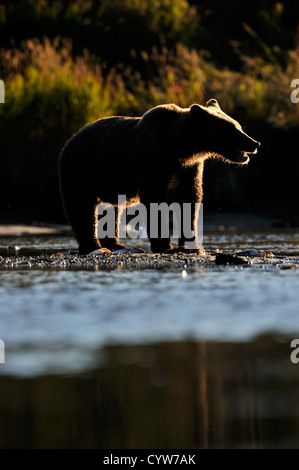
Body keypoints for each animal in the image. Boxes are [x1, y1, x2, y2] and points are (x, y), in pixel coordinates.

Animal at [58, 99, 260, 253]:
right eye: (233, 129)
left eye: (239, 126)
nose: (255, 143)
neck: (178, 146)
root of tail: (70, 140)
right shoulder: (153, 158)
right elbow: (155, 198)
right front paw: (165, 246)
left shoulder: (189, 168)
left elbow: (190, 199)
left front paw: (192, 245)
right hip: (82, 169)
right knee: (81, 207)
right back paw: (92, 246)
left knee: (111, 210)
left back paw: (116, 244)